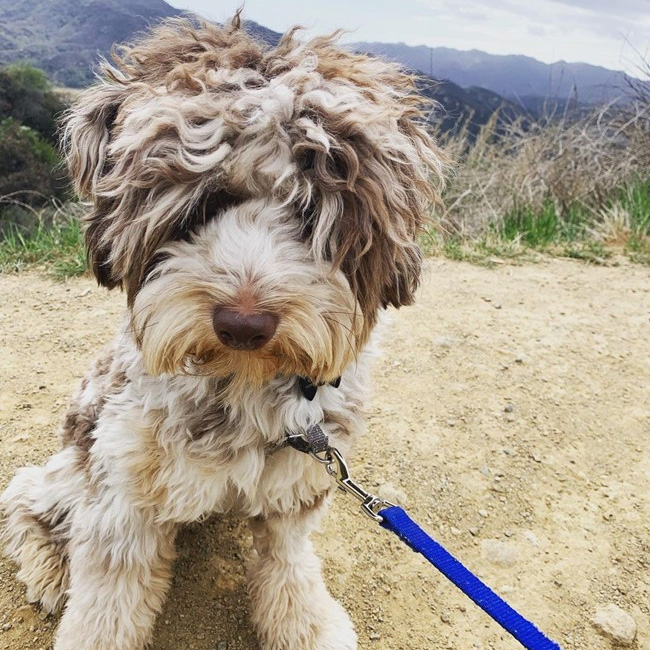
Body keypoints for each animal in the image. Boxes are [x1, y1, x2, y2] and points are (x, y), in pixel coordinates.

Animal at [0, 15, 442, 648]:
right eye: (201, 206)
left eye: (311, 212)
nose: (244, 323)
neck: (241, 384)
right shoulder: (122, 487)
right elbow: (108, 598)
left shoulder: (300, 474)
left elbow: (287, 560)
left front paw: (306, 624)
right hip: (74, 462)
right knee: (25, 497)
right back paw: (49, 566)